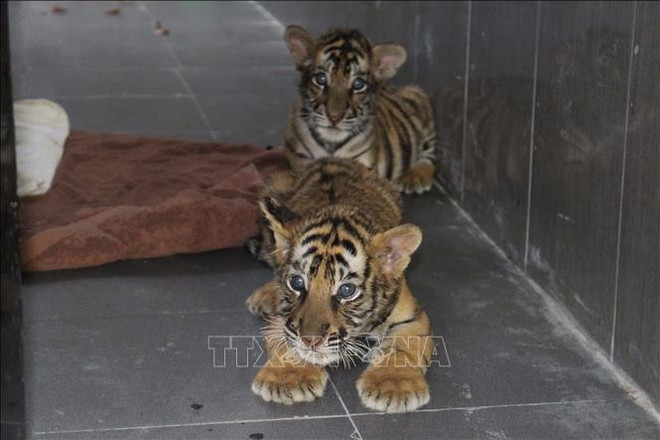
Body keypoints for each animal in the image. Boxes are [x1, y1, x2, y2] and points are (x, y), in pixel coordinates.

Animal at [245, 158, 435, 413]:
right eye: (297, 282)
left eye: (347, 291)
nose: (311, 340)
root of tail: (330, 159)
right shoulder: (284, 317)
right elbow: (289, 342)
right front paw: (289, 379)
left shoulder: (411, 316)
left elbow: (403, 348)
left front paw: (392, 386)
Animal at [282, 25, 437, 195]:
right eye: (321, 79)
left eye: (358, 84)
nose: (334, 117)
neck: (331, 144)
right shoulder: (300, 158)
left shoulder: (361, 164)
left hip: (420, 102)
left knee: (430, 152)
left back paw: (415, 177)